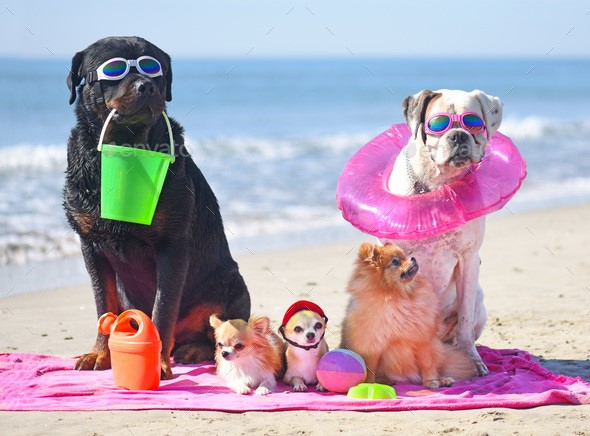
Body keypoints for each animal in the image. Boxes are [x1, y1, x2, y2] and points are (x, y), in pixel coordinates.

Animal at [342, 242, 476, 388]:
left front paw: (431, 381)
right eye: (395, 262)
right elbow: (370, 368)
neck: (398, 297)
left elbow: (427, 364)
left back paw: (443, 379)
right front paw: (369, 385)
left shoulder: (422, 340)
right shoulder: (372, 345)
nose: (413, 258)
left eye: (404, 256)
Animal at [384, 89, 504, 374]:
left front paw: (472, 360)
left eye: (473, 123)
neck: (437, 184)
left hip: (479, 301)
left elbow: (464, 321)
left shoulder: (468, 259)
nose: (459, 135)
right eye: (439, 124)